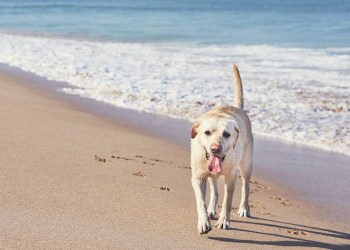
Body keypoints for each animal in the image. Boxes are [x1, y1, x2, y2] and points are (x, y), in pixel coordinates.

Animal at [190, 64, 253, 234]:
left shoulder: (231, 177)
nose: (215, 149)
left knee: (246, 186)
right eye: (206, 132)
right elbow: (200, 201)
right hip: (211, 173)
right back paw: (211, 210)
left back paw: (244, 208)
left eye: (226, 134)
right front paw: (203, 221)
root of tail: (237, 108)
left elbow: (228, 201)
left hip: (246, 164)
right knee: (215, 191)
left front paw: (224, 220)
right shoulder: (198, 176)